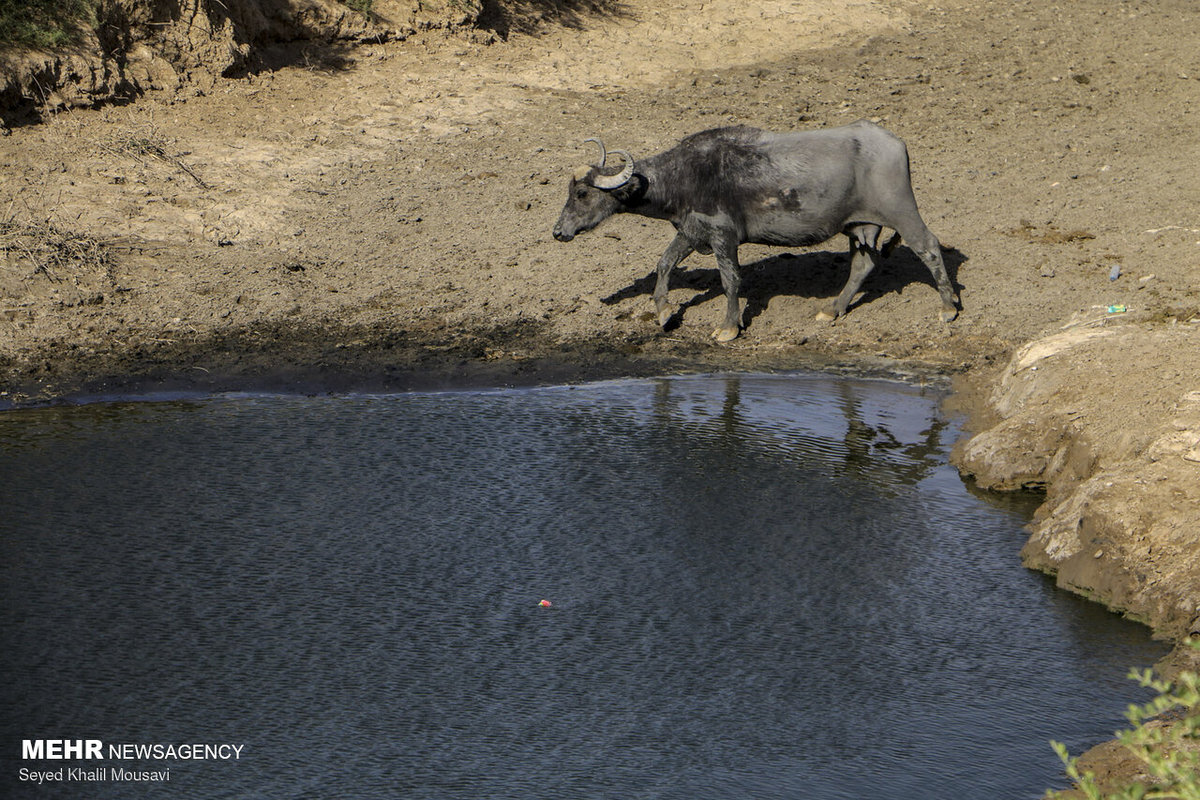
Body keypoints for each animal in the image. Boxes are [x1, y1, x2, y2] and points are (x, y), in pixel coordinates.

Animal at [549, 120, 955, 340]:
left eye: (582, 193)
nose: (557, 232)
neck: (687, 176)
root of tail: (896, 144)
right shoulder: (691, 232)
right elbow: (664, 264)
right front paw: (664, 312)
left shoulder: (723, 237)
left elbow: (731, 280)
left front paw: (729, 327)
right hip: (859, 227)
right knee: (863, 264)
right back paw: (833, 309)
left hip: (902, 211)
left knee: (929, 246)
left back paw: (948, 308)